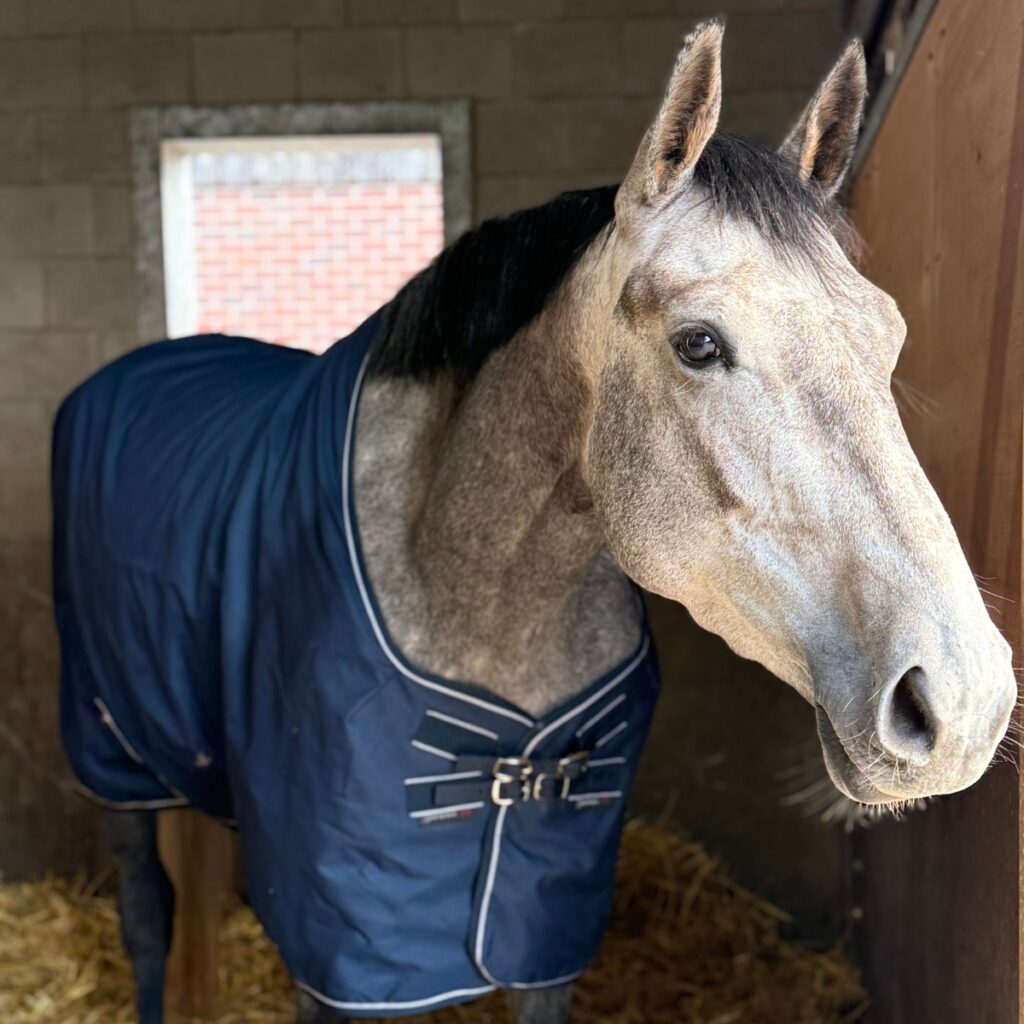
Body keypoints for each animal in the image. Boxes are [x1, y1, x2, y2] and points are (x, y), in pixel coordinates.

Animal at [50, 19, 1016, 1024]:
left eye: (887, 335)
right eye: (698, 343)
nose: (964, 705)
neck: (472, 584)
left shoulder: (546, 925)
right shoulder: (345, 953)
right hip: (113, 759)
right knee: (147, 917)